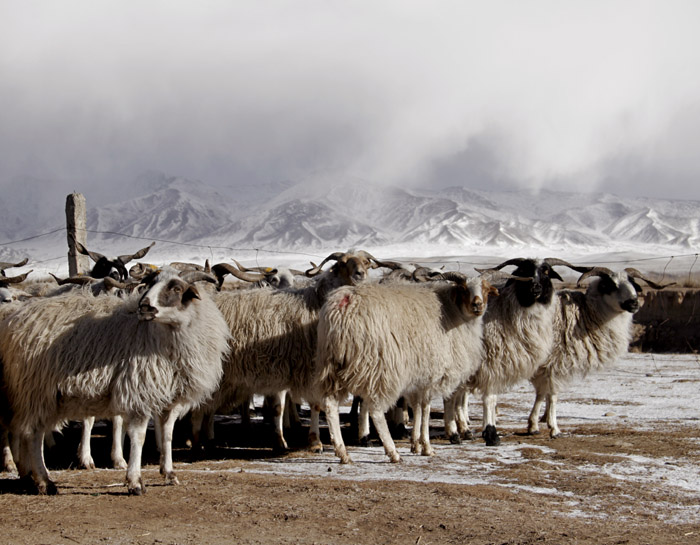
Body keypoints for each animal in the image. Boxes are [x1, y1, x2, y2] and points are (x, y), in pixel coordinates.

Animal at [0, 266, 230, 496]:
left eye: (177, 288)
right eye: (150, 283)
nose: (144, 306)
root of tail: (16, 318)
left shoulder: (170, 399)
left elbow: (168, 435)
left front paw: (169, 473)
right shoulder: (139, 391)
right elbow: (138, 437)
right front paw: (135, 481)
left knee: (26, 431)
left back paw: (27, 475)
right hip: (36, 390)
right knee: (33, 434)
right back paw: (44, 481)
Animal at [191, 249, 382, 452]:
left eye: (366, 262)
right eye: (342, 263)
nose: (360, 275)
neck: (315, 305)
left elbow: (305, 406)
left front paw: (308, 441)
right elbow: (283, 407)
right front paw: (292, 441)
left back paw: (206, 439)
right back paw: (196, 442)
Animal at [314, 270, 494, 462]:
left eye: (486, 290)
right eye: (463, 289)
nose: (478, 305)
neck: (452, 311)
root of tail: (345, 304)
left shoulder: (418, 377)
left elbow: (417, 408)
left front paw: (416, 444)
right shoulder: (431, 375)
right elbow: (425, 409)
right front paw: (426, 446)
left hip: (331, 365)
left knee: (330, 405)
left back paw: (343, 453)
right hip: (379, 368)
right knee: (375, 410)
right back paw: (392, 452)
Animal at [528, 266, 668, 436]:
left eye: (633, 283)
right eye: (611, 285)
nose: (634, 302)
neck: (584, 314)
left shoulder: (546, 366)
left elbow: (544, 394)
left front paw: (539, 423)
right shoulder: (554, 362)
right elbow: (550, 394)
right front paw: (550, 427)